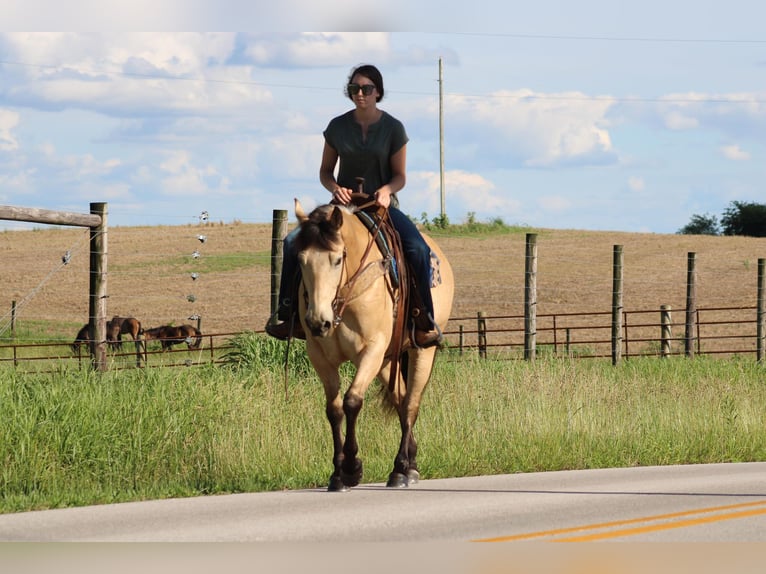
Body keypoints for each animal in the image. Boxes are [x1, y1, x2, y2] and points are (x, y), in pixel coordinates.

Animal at [293, 199, 454, 491]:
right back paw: (409, 463)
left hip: (421, 351)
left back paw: (400, 469)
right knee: (401, 399)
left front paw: (351, 467)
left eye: (337, 259)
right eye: (300, 260)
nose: (318, 322)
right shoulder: (320, 356)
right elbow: (334, 410)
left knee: (411, 404)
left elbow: (352, 401)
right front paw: (337, 475)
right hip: (388, 360)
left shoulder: (372, 350)